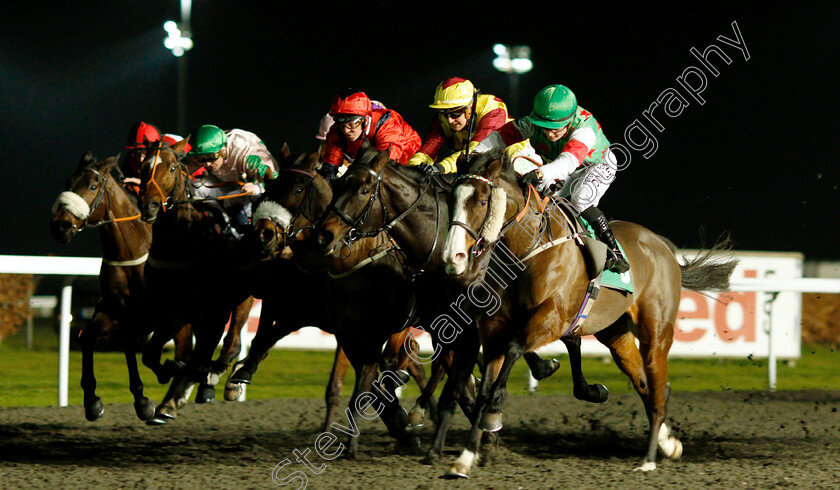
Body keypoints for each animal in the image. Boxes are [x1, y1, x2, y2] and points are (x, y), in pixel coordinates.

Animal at [436, 151, 740, 476]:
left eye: (482, 201)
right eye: (452, 198)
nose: (452, 256)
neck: (527, 250)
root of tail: (662, 246)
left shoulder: (552, 319)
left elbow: (514, 351)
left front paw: (496, 408)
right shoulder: (494, 329)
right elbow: (483, 389)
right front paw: (465, 457)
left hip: (656, 332)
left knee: (658, 388)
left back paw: (648, 460)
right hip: (616, 334)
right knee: (646, 385)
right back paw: (667, 443)